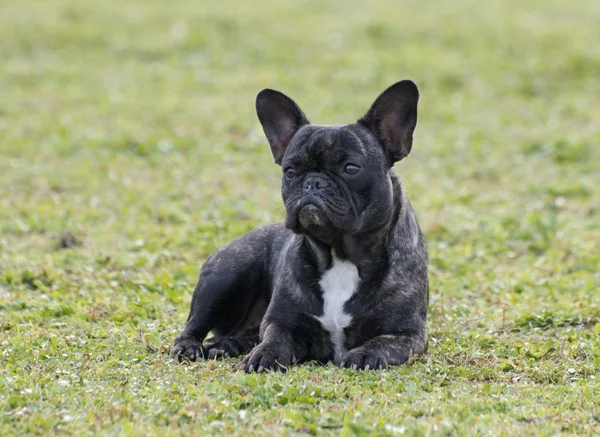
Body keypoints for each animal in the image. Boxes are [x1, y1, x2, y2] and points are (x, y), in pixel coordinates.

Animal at [171, 80, 428, 370]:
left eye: (351, 168)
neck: (339, 255)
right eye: (290, 171)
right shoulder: (280, 321)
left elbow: (383, 343)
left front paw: (364, 354)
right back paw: (190, 346)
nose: (313, 182)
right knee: (194, 324)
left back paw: (227, 345)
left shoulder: (407, 334)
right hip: (226, 273)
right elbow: (275, 337)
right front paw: (265, 354)